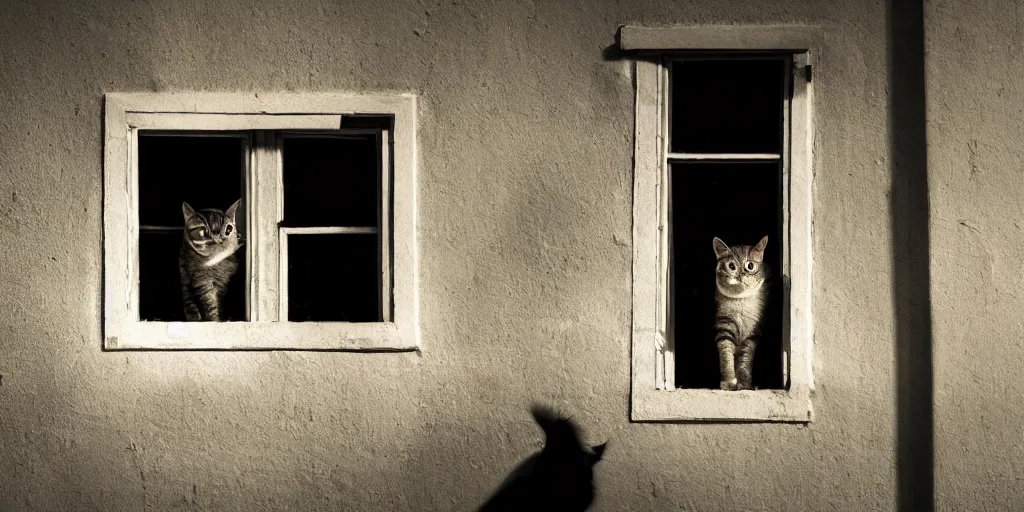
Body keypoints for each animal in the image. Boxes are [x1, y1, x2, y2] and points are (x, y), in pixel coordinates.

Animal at [712, 235, 770, 391]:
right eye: (731, 266)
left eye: (750, 266)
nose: (740, 275)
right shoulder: (724, 325)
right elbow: (726, 354)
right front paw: (728, 381)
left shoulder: (753, 332)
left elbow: (745, 358)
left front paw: (744, 384)